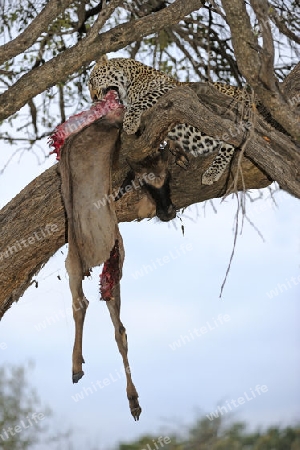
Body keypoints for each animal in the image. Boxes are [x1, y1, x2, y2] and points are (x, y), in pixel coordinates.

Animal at [88, 56, 251, 186]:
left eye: (91, 81)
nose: (94, 98)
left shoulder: (170, 89)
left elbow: (142, 100)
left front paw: (130, 122)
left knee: (230, 141)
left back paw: (212, 172)